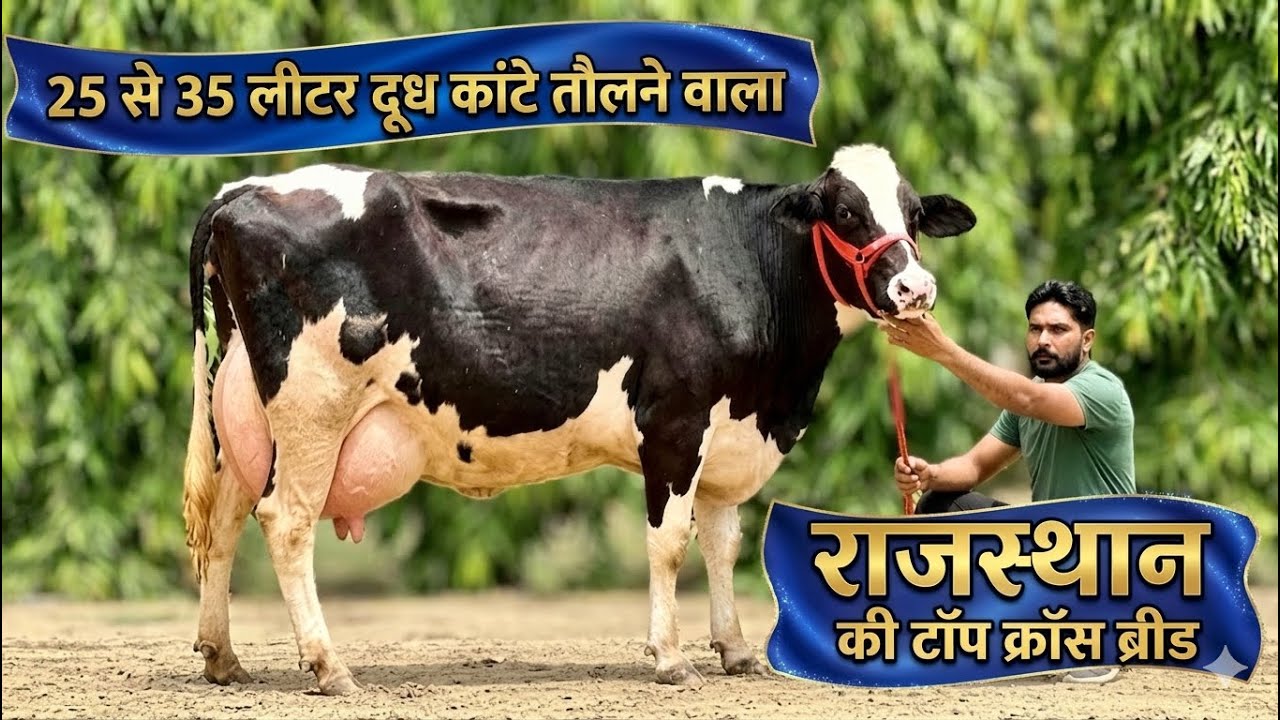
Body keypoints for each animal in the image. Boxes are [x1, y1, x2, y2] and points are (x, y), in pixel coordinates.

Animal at [182, 143, 977, 695]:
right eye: (846, 213)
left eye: (913, 215)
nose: (915, 288)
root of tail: (242, 189)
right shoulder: (676, 421)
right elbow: (670, 544)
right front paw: (671, 659)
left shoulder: (730, 433)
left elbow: (723, 543)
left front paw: (737, 651)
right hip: (314, 404)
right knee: (285, 522)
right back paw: (328, 667)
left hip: (246, 413)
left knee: (224, 520)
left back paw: (224, 658)